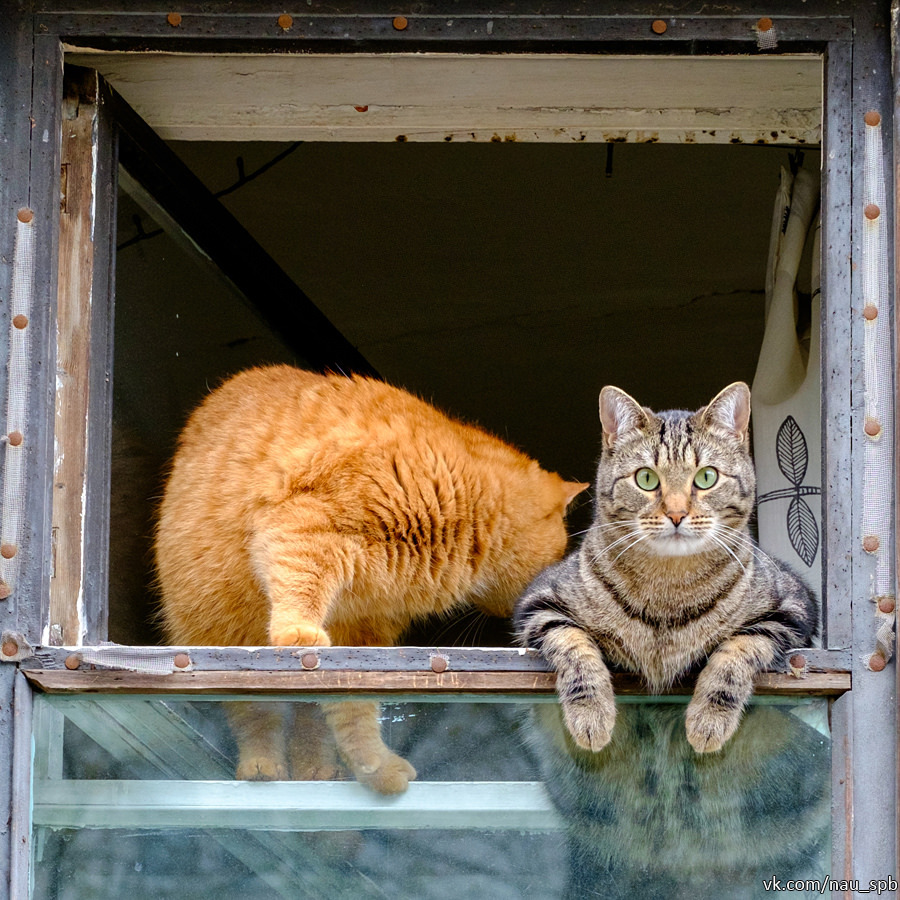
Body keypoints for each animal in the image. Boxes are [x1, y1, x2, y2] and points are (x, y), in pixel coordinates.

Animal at [155, 362, 584, 792]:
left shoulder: (365, 636)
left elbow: (353, 711)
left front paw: (375, 767)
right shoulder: (306, 528)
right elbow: (299, 585)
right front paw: (297, 631)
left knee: (310, 722)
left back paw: (316, 771)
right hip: (220, 631)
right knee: (256, 716)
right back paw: (262, 766)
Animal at [512, 384, 816, 756]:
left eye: (706, 477)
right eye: (646, 478)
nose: (676, 513)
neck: (667, 588)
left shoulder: (792, 608)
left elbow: (736, 652)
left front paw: (708, 721)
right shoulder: (539, 603)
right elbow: (574, 647)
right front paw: (591, 716)